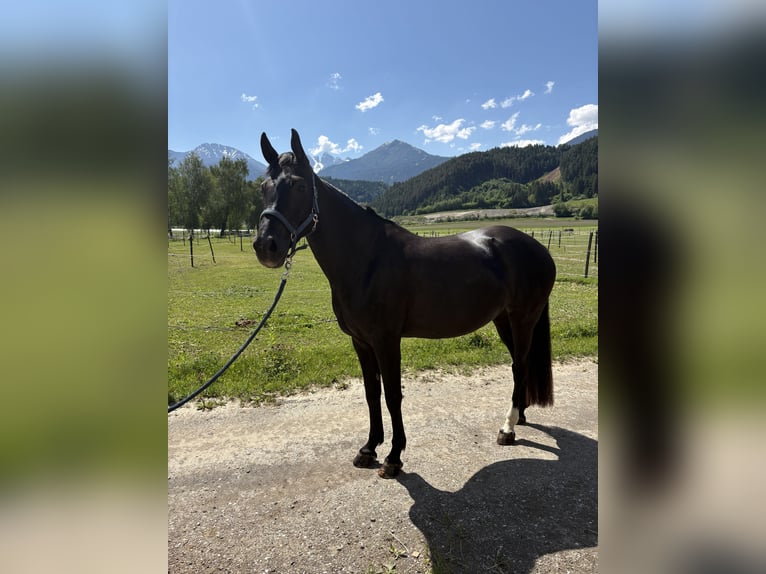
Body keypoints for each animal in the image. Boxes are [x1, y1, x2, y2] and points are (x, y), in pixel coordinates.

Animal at [254, 129, 556, 478]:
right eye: (264, 187)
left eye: (300, 186)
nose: (266, 246)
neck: (367, 259)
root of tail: (538, 248)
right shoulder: (361, 342)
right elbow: (372, 394)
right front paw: (368, 449)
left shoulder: (386, 341)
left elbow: (392, 396)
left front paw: (394, 457)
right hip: (503, 319)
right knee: (520, 365)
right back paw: (520, 416)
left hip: (523, 319)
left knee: (519, 364)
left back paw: (507, 428)